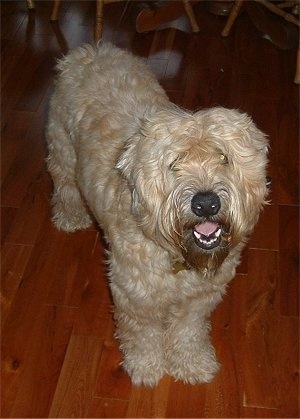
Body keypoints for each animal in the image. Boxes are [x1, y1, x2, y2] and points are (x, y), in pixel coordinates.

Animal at [46, 41, 270, 388]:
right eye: (174, 163)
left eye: (223, 157)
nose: (206, 204)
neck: (178, 259)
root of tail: (90, 50)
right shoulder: (135, 296)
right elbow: (143, 334)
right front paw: (146, 366)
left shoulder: (201, 296)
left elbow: (189, 330)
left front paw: (193, 363)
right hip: (63, 152)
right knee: (66, 186)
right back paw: (71, 218)